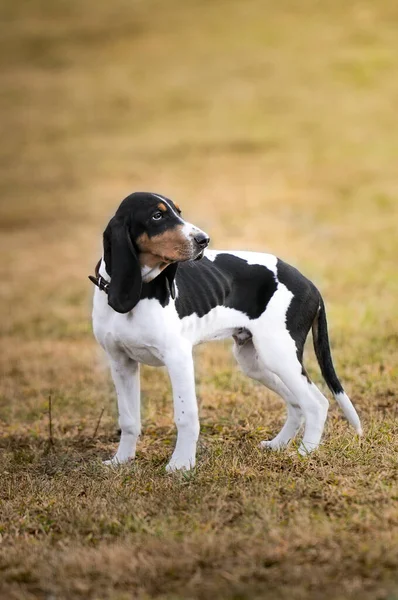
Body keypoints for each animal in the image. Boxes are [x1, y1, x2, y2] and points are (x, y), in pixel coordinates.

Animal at [91, 192, 362, 474]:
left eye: (178, 212)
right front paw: (121, 460)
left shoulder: (179, 359)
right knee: (297, 403)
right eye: (157, 216)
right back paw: (278, 445)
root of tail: (309, 284)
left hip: (280, 355)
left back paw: (304, 453)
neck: (141, 291)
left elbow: (186, 417)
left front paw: (181, 465)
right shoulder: (121, 363)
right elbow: (128, 419)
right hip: (254, 362)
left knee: (317, 403)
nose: (203, 240)